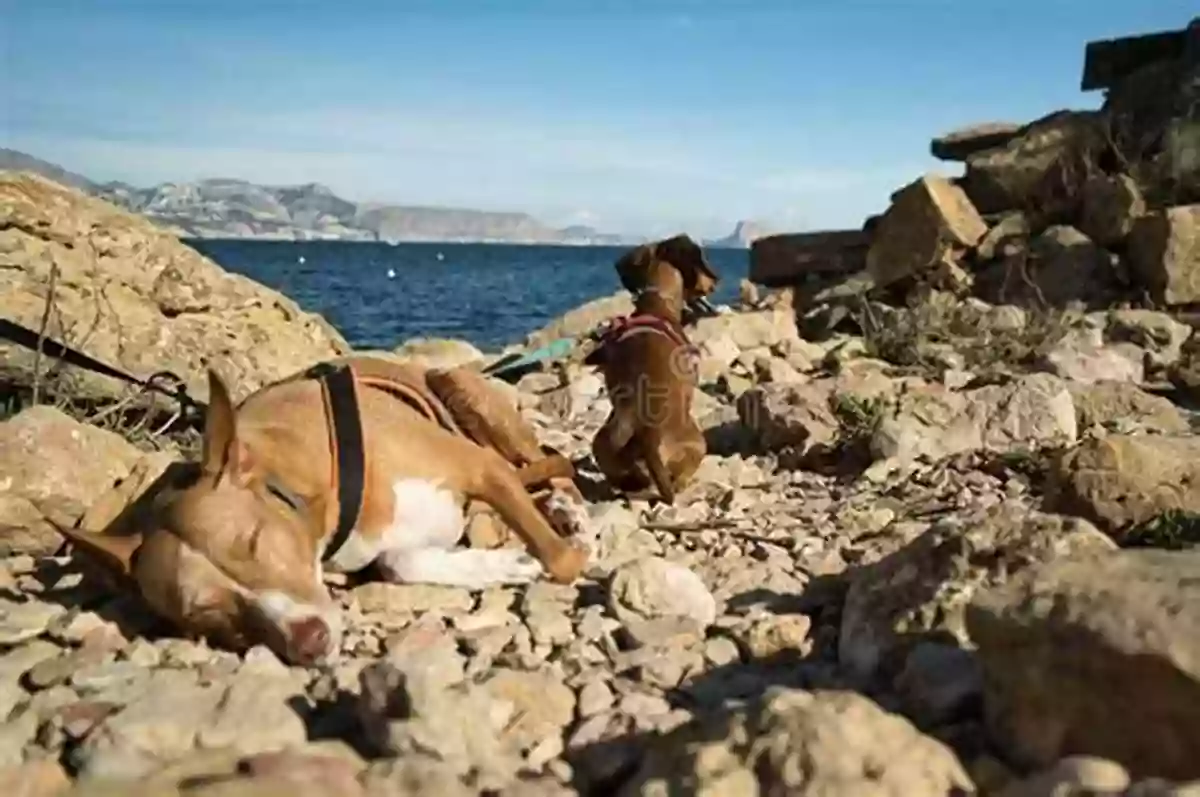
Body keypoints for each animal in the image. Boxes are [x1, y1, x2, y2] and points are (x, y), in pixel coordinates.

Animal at [583, 234, 715, 501]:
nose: (714, 283)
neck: (658, 301)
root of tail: (648, 434)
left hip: (603, 441)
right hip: (698, 441)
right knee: (680, 477)